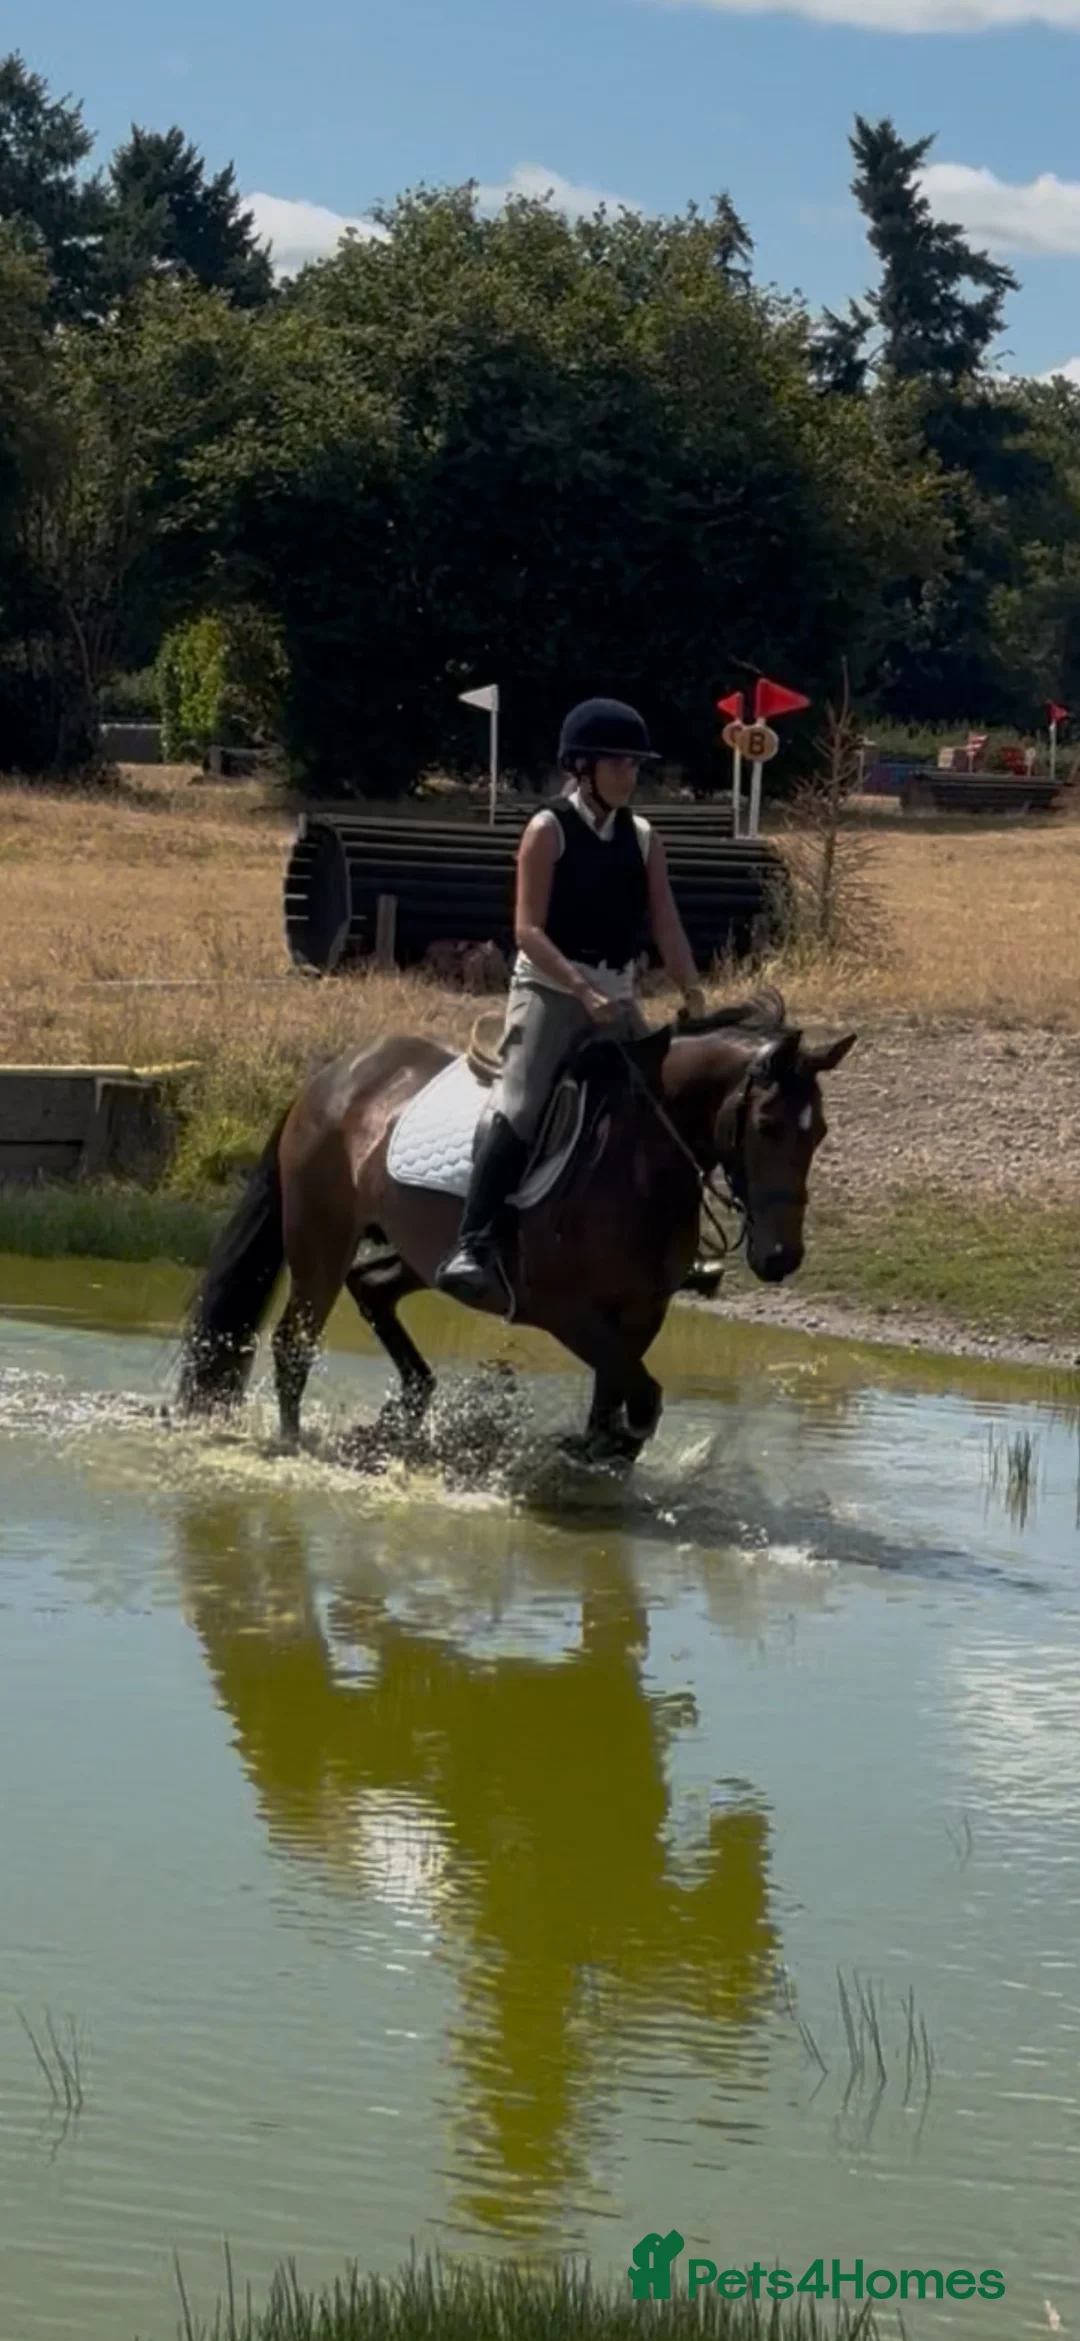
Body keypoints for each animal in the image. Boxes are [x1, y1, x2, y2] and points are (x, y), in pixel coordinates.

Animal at [175, 988, 856, 1465]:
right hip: (321, 1237)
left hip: (422, 1255)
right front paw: (589, 1459)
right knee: (295, 1342)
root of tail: (336, 1076)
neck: (638, 1160)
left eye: (819, 1132)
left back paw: (405, 1412)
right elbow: (640, 1398)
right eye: (767, 1125)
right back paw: (295, 1447)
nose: (781, 1257)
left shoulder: (641, 1313)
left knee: (372, 1288)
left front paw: (594, 1463)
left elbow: (620, 1399)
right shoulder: (564, 1310)